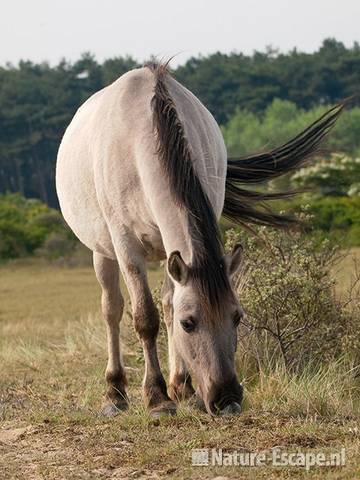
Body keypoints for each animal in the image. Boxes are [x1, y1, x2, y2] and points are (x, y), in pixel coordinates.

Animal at [56, 61, 344, 416]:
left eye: (237, 317)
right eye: (189, 323)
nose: (227, 399)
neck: (139, 138)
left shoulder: (177, 249)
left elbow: (167, 308)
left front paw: (181, 388)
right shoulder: (126, 247)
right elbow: (145, 317)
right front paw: (157, 398)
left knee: (164, 303)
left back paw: (179, 386)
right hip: (103, 252)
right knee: (112, 309)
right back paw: (115, 393)